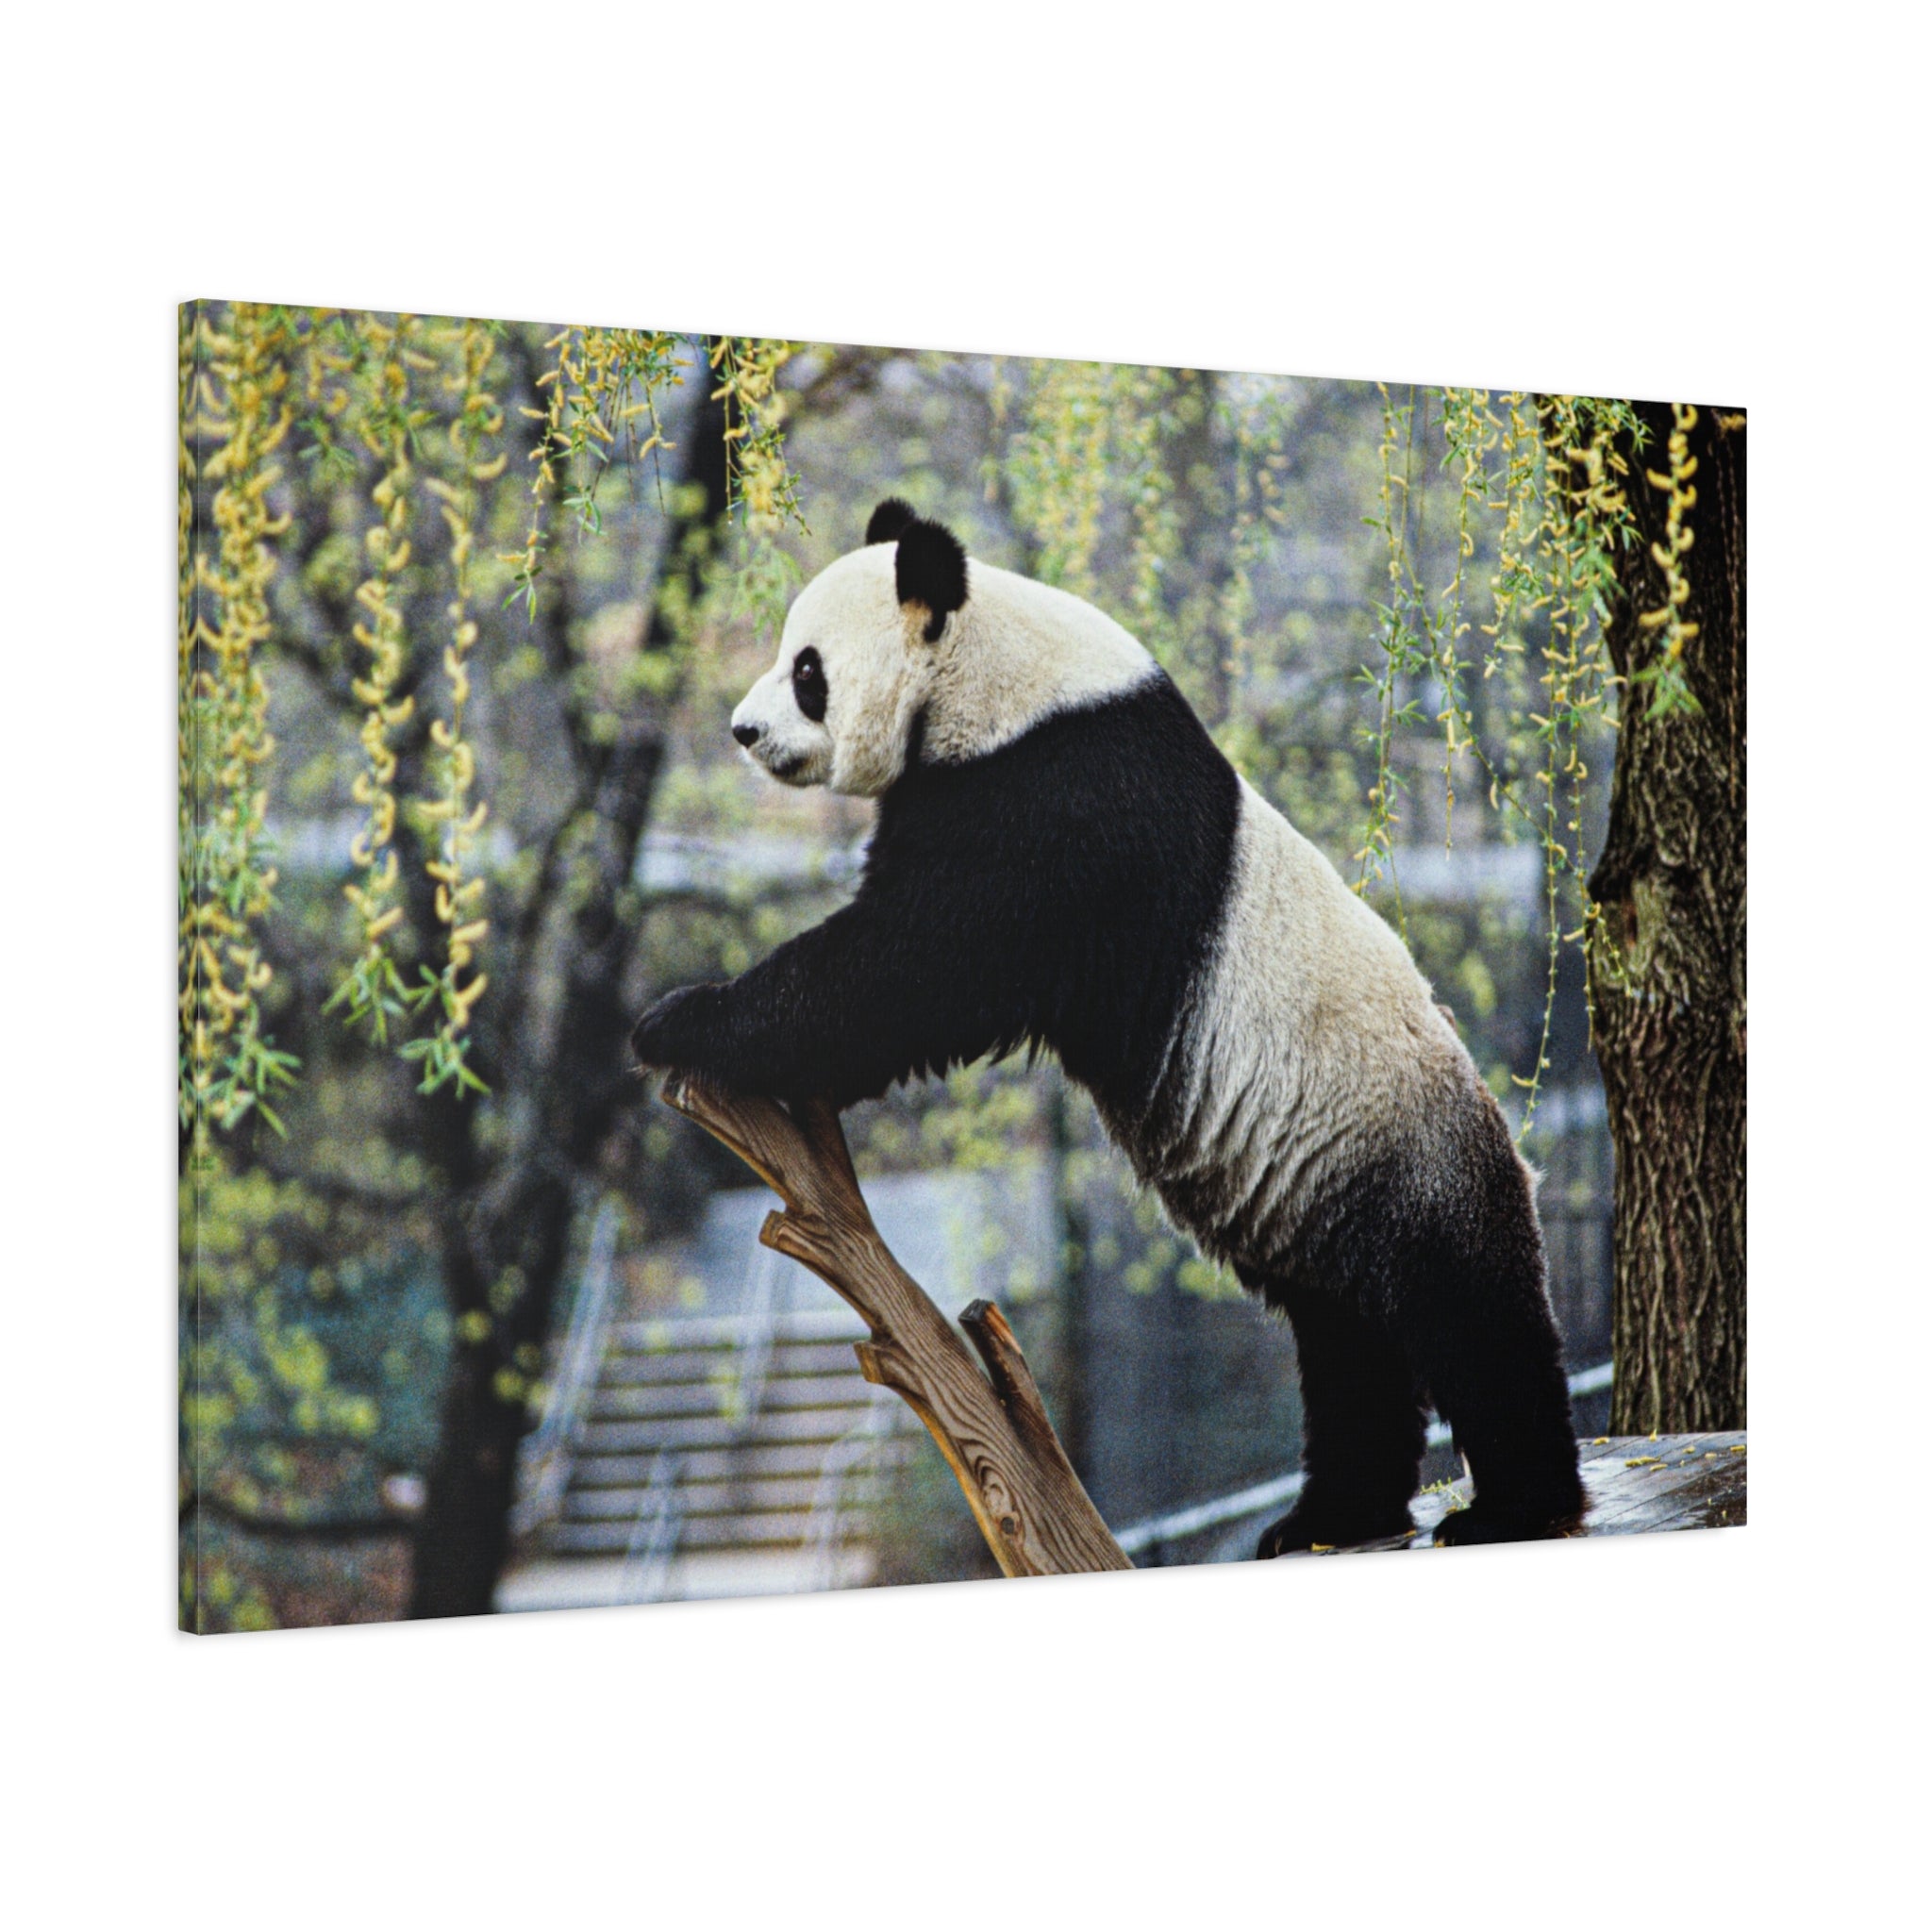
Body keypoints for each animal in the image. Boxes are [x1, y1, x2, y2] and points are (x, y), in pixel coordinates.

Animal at [632, 498, 1584, 1552]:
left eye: (808, 669)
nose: (743, 729)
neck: (997, 673)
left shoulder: (1056, 800)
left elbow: (913, 965)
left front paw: (682, 1020)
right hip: (1325, 1191)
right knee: (1347, 1345)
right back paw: (1330, 1514)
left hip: (1407, 1156)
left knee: (1469, 1317)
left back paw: (1513, 1505)